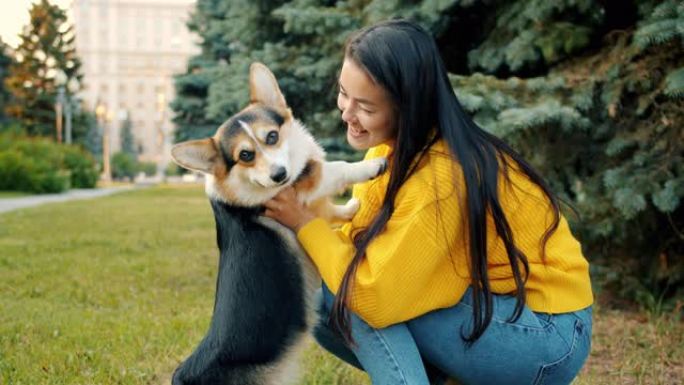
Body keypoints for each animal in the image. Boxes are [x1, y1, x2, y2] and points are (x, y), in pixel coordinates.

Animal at [169, 61, 388, 382]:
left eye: (272, 136)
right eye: (245, 155)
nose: (279, 175)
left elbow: (330, 212)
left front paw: (351, 209)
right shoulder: (303, 184)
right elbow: (336, 168)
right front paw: (371, 166)